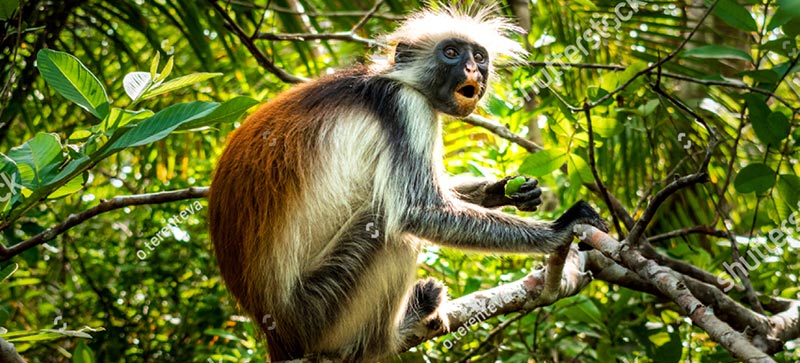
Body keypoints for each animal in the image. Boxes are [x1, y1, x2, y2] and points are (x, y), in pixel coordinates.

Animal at [209, 6, 608, 363]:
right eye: (451, 53)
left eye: (479, 56)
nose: (472, 69)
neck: (393, 79)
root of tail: (275, 331)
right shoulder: (405, 106)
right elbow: (417, 210)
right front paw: (560, 228)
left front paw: (504, 190)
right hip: (320, 310)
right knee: (389, 227)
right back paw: (388, 336)